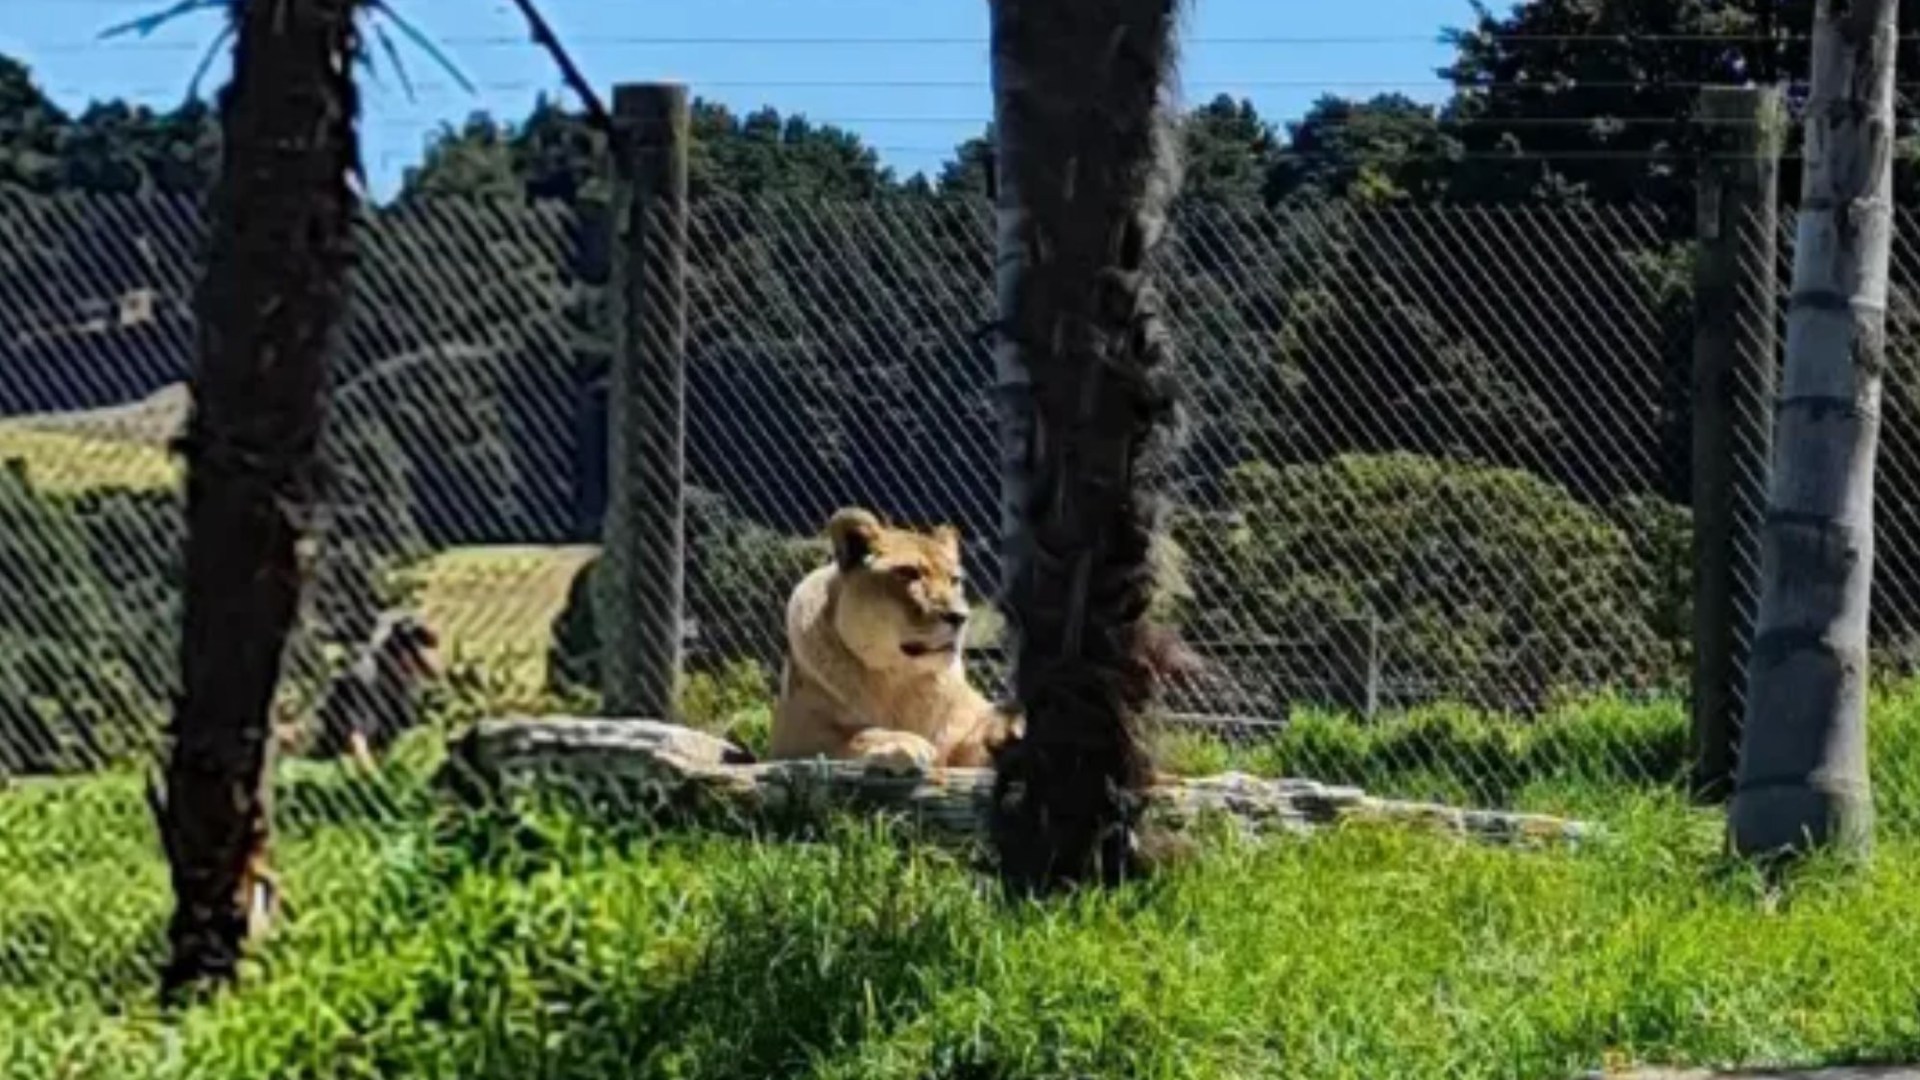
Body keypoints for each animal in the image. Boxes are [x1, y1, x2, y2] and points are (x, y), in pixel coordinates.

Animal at [769, 507, 1019, 772]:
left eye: (954, 580)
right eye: (910, 573)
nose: (961, 617)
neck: (900, 678)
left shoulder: (964, 724)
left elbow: (981, 729)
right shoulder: (792, 739)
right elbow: (858, 734)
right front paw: (905, 743)